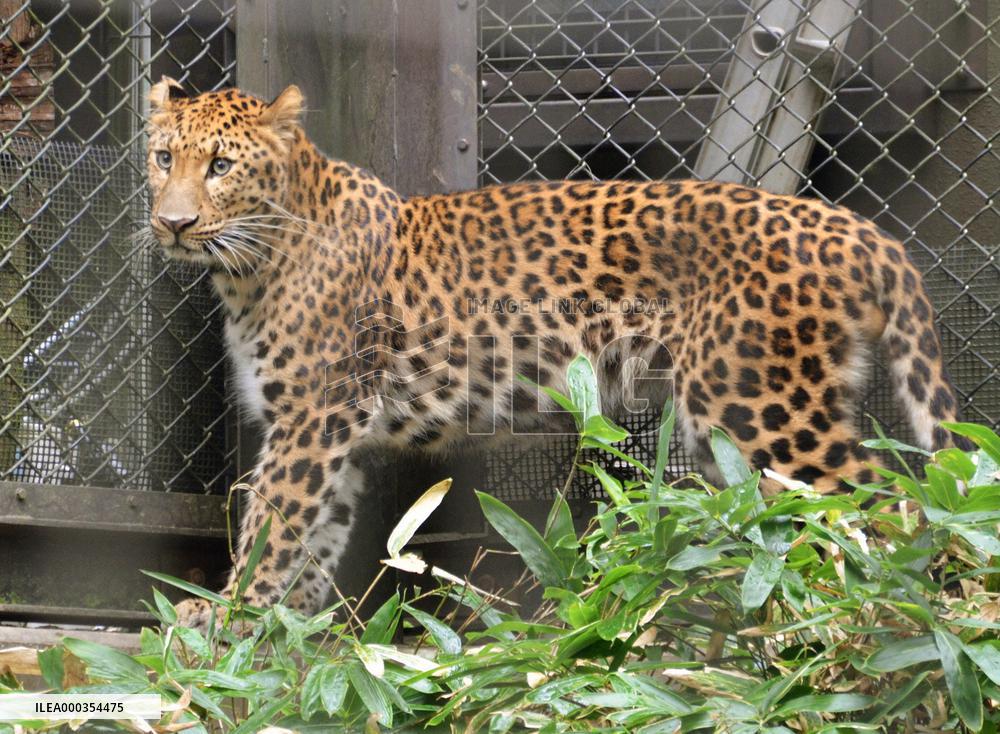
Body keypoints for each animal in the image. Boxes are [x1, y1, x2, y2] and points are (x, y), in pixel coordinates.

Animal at [143, 78, 967, 629]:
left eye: (220, 166)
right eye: (160, 158)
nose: (173, 223)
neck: (248, 264)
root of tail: (860, 231)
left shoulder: (312, 418)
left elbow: (272, 525)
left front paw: (226, 619)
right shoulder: (329, 428)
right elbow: (316, 536)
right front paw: (290, 633)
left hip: (761, 410)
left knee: (884, 502)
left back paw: (868, 618)